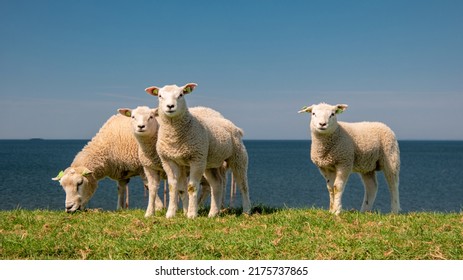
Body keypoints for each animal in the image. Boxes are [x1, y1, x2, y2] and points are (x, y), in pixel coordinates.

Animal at [147, 83, 252, 219]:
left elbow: (191, 187)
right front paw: (170, 213)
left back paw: (247, 210)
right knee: (217, 184)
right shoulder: (168, 160)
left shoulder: (196, 158)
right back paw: (213, 213)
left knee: (243, 184)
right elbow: (172, 186)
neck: (174, 137)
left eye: (181, 94)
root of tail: (233, 125)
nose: (170, 106)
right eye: (160, 96)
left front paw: (191, 214)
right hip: (210, 162)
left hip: (238, 157)